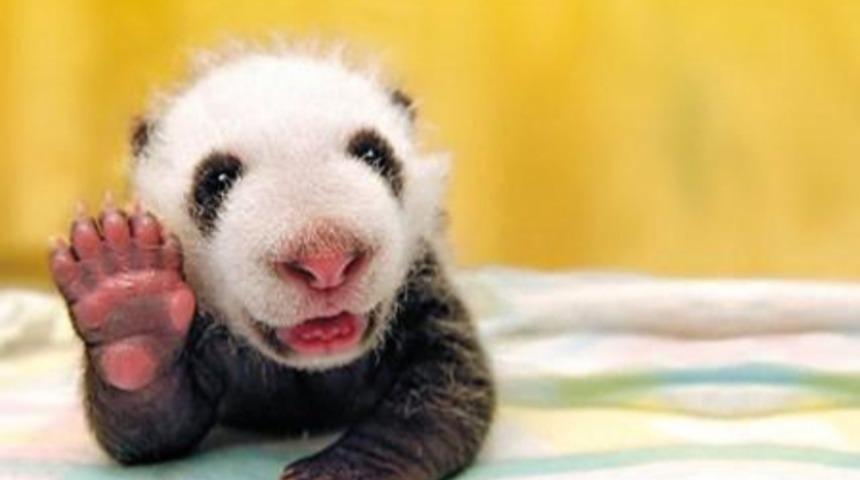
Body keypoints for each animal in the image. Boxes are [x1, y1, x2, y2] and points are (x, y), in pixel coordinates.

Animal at [48, 44, 495, 480]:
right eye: (217, 181)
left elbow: (444, 392)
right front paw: (129, 298)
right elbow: (153, 423)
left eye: (373, 154)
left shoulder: (423, 284)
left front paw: (342, 470)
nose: (326, 261)